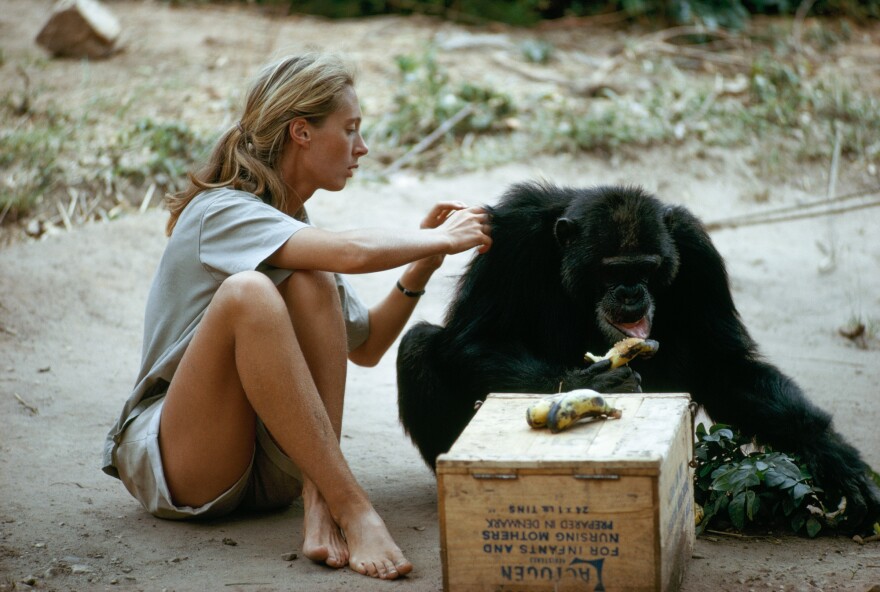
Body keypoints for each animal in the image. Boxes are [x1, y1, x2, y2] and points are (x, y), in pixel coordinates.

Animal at [398, 180, 880, 532]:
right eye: (612, 269)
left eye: (647, 268)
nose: (631, 292)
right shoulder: (510, 236)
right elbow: (473, 338)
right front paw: (591, 383)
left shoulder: (697, 249)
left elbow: (723, 364)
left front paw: (832, 455)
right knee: (418, 344)